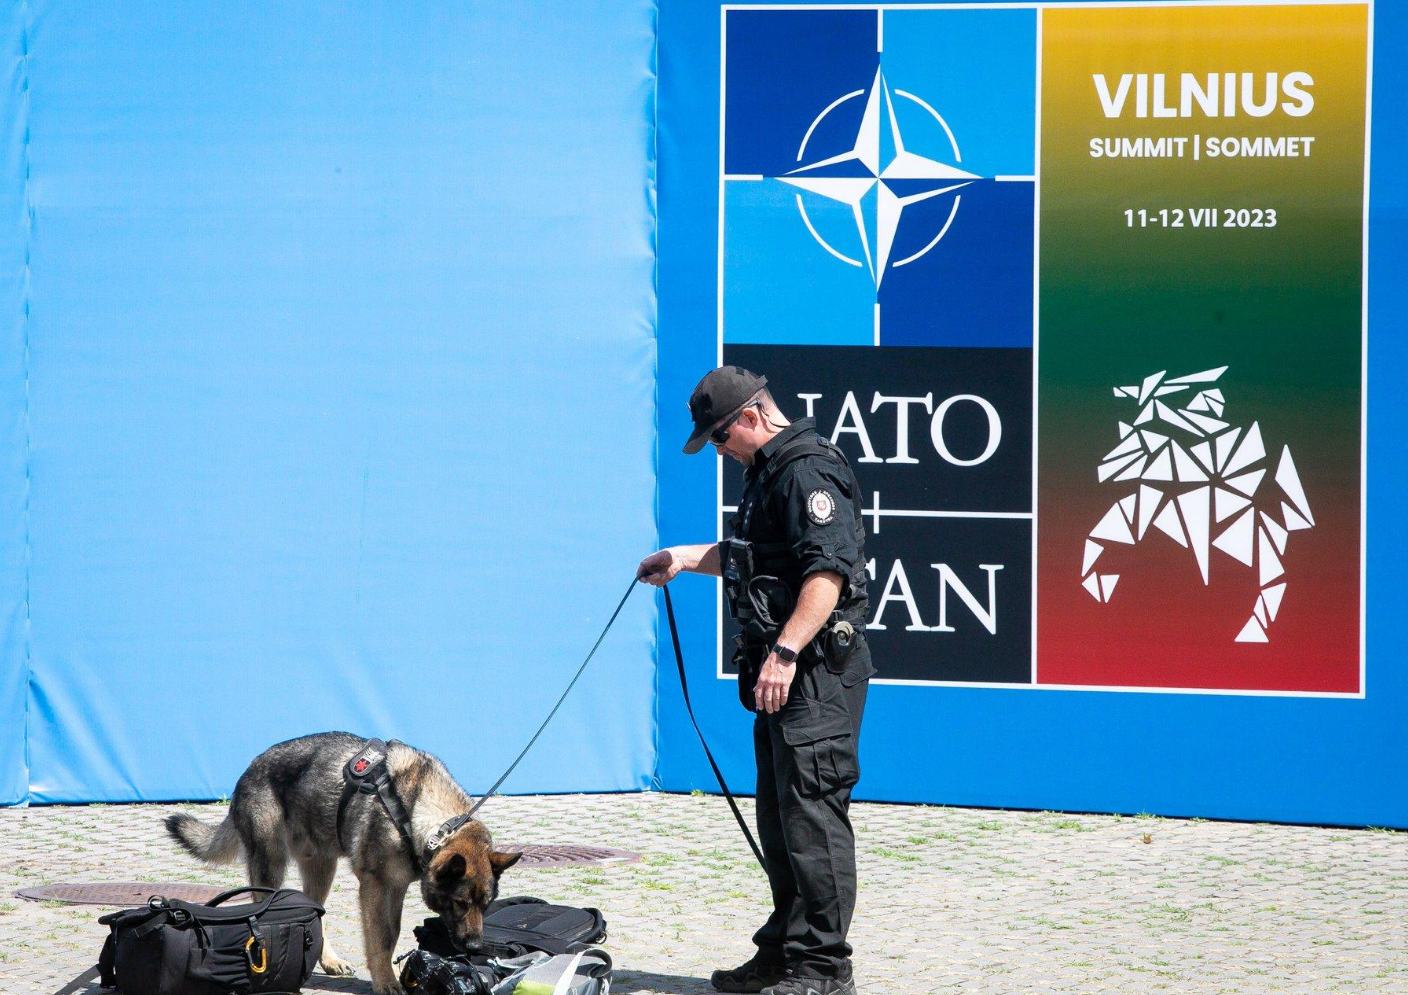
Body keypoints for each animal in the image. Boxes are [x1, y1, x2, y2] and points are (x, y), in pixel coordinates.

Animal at [164, 731, 518, 995]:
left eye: (486, 904)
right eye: (460, 903)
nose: (475, 947)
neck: (421, 815)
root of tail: (248, 770)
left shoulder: (394, 887)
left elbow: (391, 933)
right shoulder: (377, 887)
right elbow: (384, 936)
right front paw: (385, 981)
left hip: (322, 868)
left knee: (315, 911)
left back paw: (328, 960)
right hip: (271, 867)